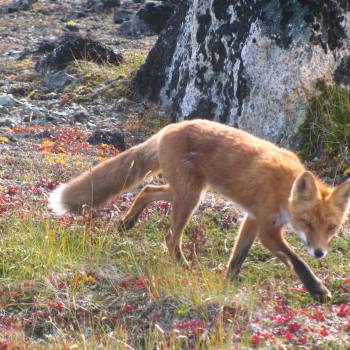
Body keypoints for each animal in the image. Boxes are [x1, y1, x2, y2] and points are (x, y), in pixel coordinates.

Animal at [49, 119, 350, 300]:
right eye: (306, 222)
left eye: (331, 227)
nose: (320, 253)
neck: (283, 189)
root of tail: (169, 127)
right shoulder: (267, 228)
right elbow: (296, 260)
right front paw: (317, 290)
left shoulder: (253, 219)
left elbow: (238, 256)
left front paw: (229, 280)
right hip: (189, 197)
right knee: (170, 237)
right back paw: (184, 266)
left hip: (186, 192)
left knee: (147, 192)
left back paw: (127, 223)